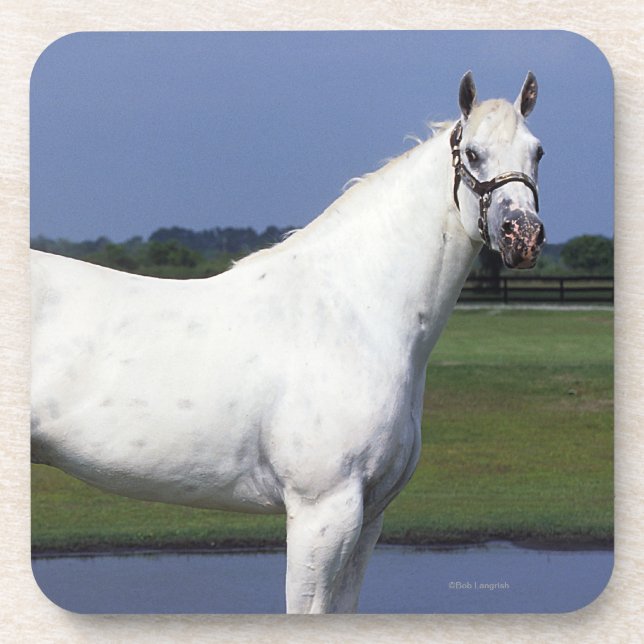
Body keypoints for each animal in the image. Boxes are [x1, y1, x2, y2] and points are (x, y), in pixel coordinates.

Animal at [31, 71, 545, 614]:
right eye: (472, 153)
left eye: (538, 151)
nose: (523, 236)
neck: (354, 310)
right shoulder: (323, 512)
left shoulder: (370, 516)